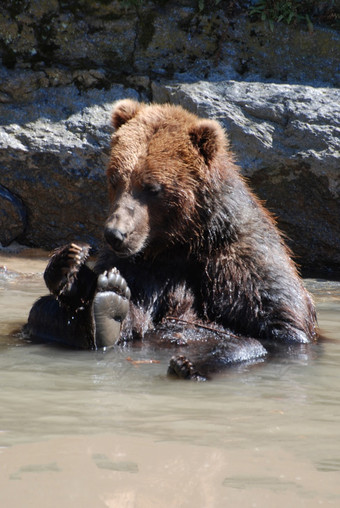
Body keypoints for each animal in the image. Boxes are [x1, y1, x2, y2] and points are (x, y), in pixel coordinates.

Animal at [24, 99, 318, 380]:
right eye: (115, 179)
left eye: (152, 187)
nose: (115, 234)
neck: (184, 240)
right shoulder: (146, 266)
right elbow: (135, 308)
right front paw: (75, 268)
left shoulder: (242, 259)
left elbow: (280, 326)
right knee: (42, 311)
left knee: (244, 344)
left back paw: (189, 364)